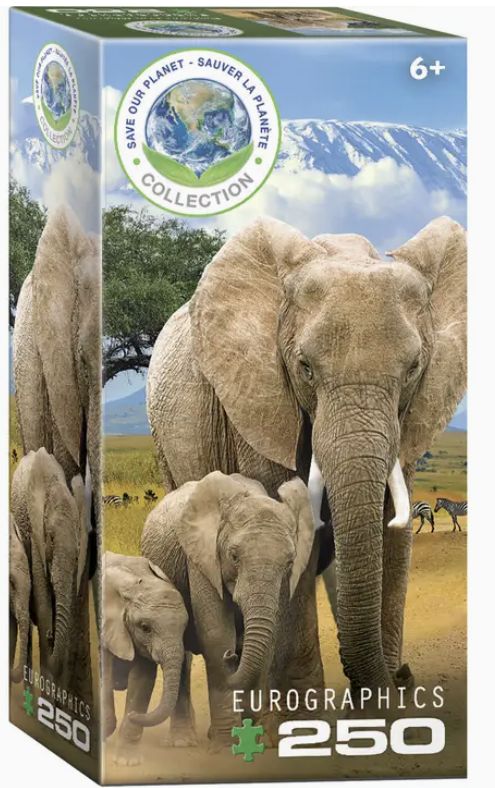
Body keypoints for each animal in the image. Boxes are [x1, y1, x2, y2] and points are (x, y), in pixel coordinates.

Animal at [102, 552, 189, 766]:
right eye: (145, 627)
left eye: (184, 628)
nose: (134, 715)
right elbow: (105, 676)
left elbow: (142, 681)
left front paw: (128, 761)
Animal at [140, 470, 316, 746]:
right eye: (234, 557)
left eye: (289, 561)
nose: (232, 656)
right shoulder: (201, 557)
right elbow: (217, 634)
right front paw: (224, 744)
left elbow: (269, 639)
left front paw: (254, 741)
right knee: (181, 657)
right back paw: (183, 741)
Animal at [148, 215, 467, 699]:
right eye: (305, 368)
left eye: (413, 369)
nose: (402, 674)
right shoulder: (260, 402)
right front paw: (300, 702)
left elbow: (393, 530)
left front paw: (380, 705)